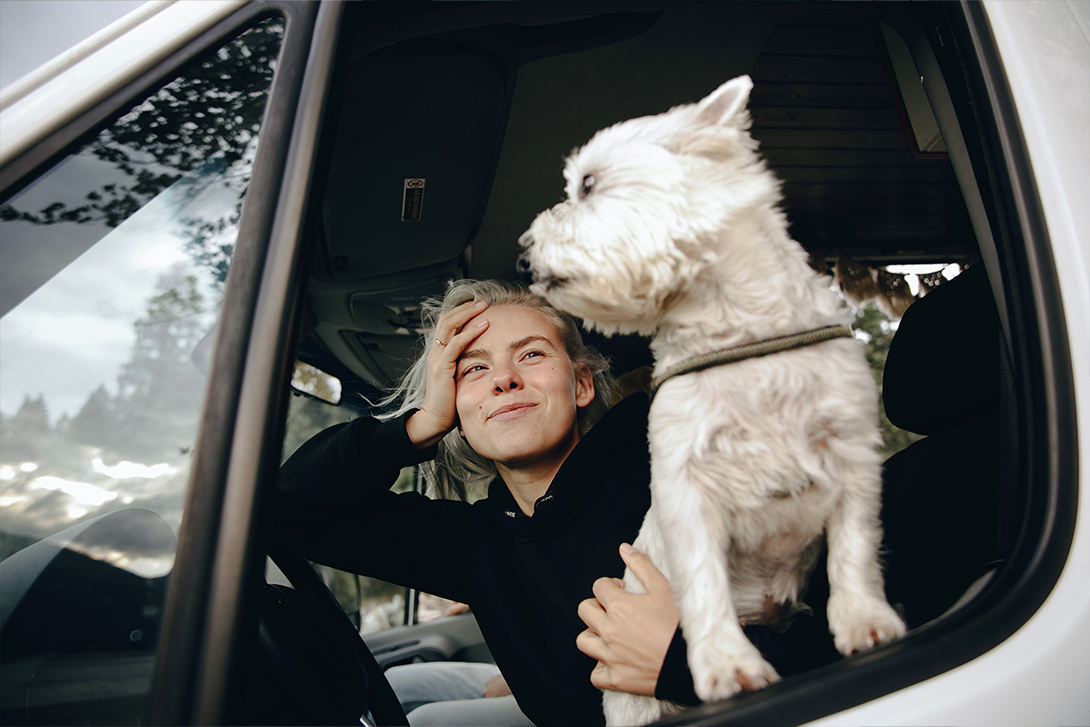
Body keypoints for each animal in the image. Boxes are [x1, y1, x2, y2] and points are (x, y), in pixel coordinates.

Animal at [516, 76, 902, 723]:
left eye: (588, 184)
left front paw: (866, 622)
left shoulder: (851, 452)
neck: (739, 337)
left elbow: (855, 548)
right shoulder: (685, 480)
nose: (523, 256)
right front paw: (727, 665)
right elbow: (702, 581)